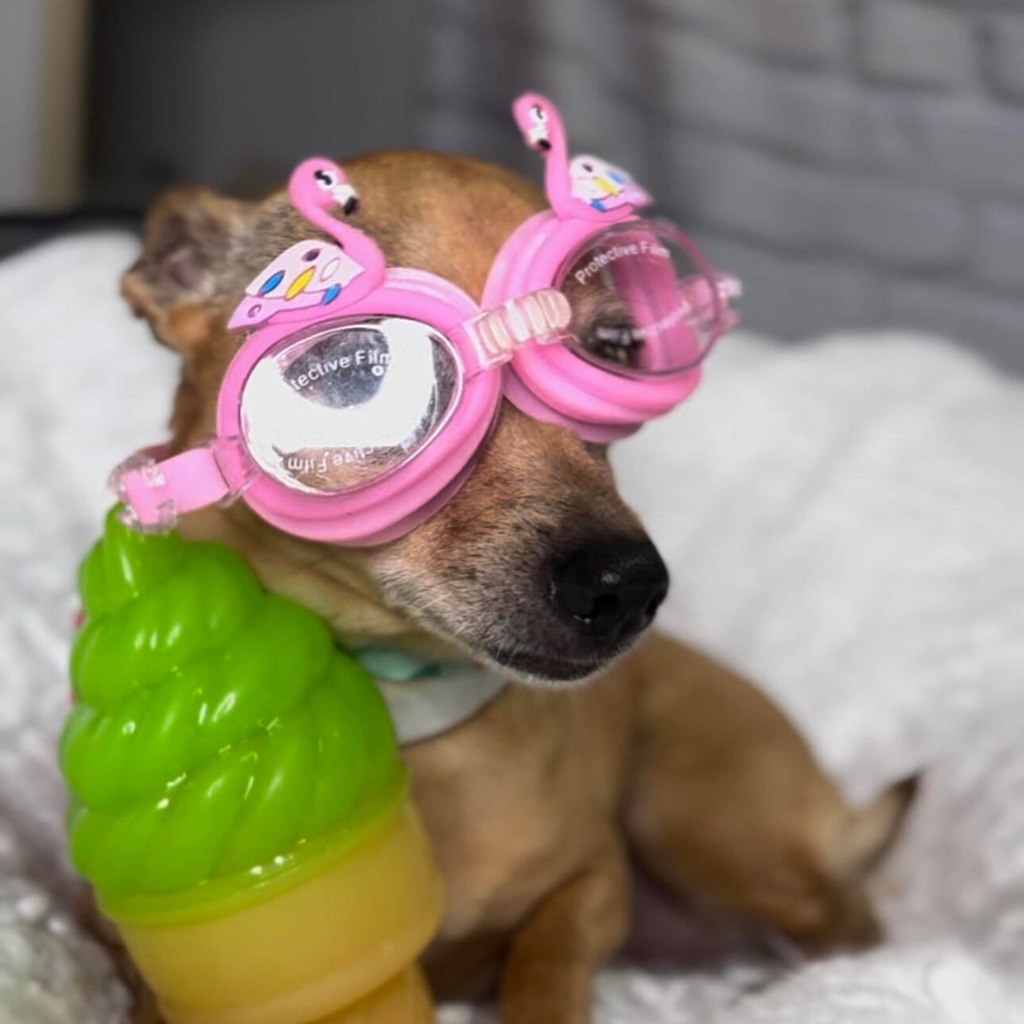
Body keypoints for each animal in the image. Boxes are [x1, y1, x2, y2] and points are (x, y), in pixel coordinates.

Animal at [105, 148, 921, 1019]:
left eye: (619, 347)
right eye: (354, 385)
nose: (628, 583)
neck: (410, 722)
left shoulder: (595, 881)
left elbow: (546, 964)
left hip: (691, 811)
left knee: (851, 922)